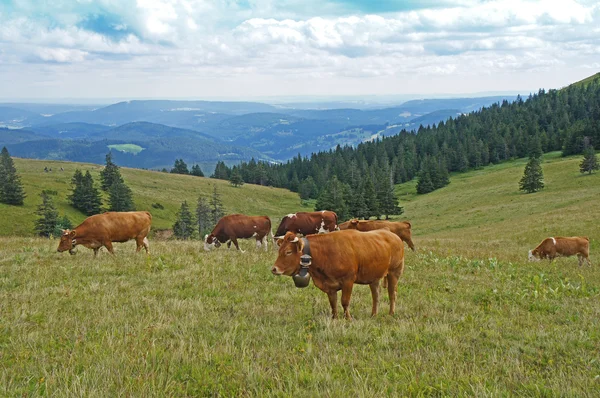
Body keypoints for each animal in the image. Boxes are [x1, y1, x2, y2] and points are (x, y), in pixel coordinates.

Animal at [270, 229, 404, 318]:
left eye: (288, 252)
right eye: (279, 250)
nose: (274, 269)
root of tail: (393, 235)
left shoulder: (348, 281)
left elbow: (345, 301)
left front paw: (348, 319)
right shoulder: (330, 286)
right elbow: (333, 303)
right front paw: (335, 318)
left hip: (394, 272)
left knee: (392, 294)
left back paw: (391, 313)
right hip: (374, 277)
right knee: (376, 296)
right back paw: (373, 314)